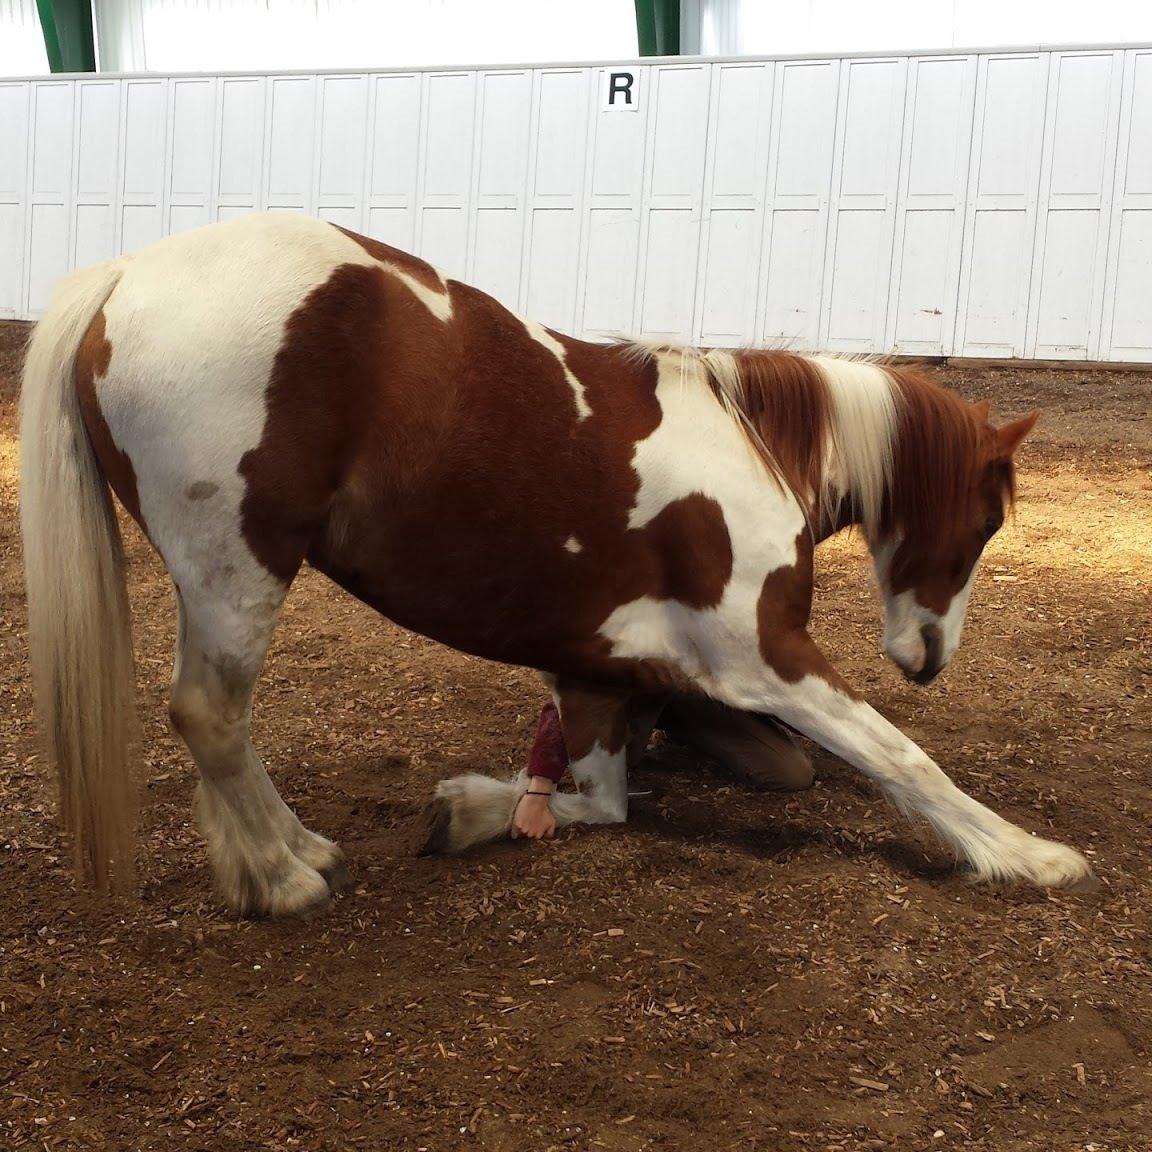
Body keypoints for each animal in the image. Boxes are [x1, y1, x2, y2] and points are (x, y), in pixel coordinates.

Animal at [22, 211, 1092, 916]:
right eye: (986, 523)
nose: (928, 659)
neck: (755, 450)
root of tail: (124, 276)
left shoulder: (596, 671)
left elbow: (602, 802)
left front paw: (472, 811)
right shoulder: (767, 660)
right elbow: (900, 757)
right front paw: (1026, 855)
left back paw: (288, 851)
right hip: (235, 567)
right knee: (211, 714)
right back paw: (284, 878)